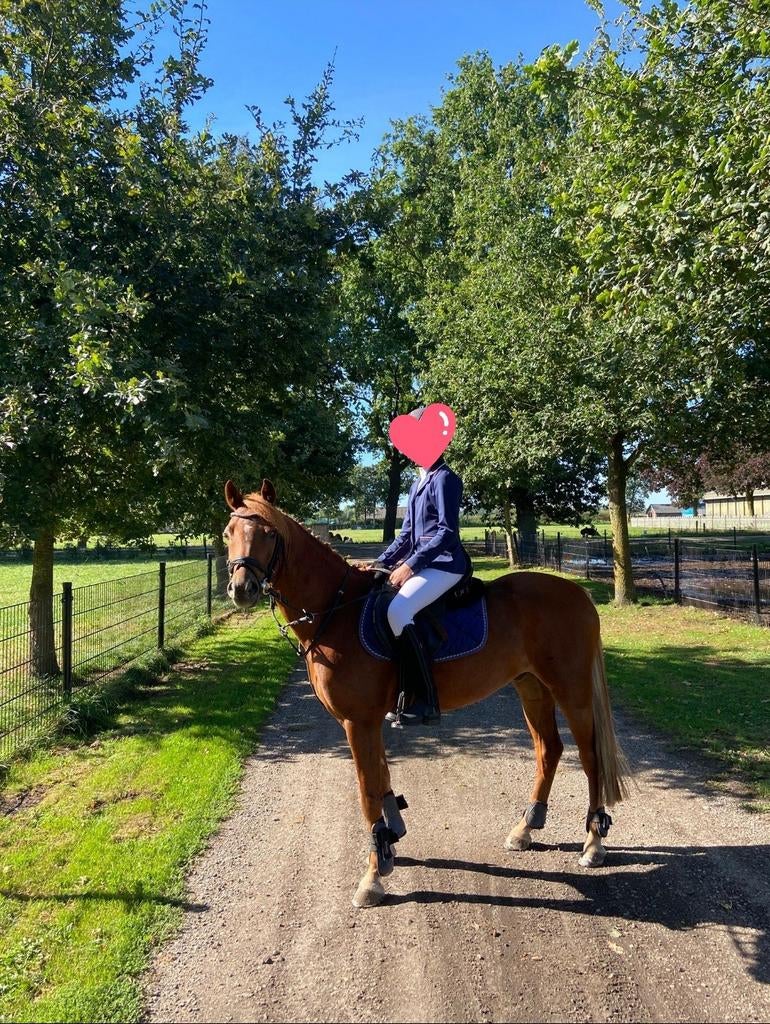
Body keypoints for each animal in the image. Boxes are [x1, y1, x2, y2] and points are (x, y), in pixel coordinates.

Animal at [224, 479, 631, 909]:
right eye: (228, 532)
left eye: (269, 534)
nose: (241, 589)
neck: (337, 613)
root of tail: (578, 593)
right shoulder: (367, 723)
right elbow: (382, 781)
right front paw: (389, 847)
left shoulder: (358, 722)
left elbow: (368, 792)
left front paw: (372, 877)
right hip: (531, 687)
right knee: (549, 749)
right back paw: (525, 829)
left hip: (572, 690)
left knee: (590, 758)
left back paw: (594, 843)